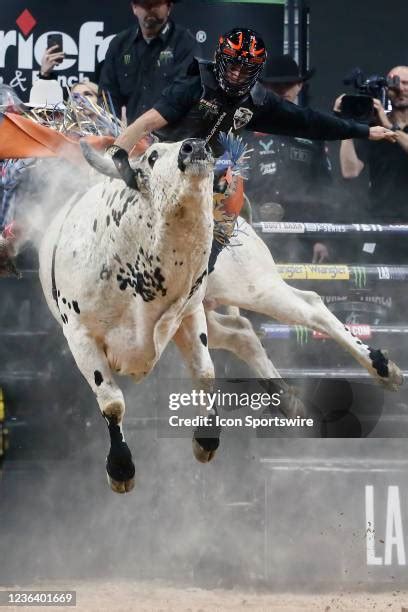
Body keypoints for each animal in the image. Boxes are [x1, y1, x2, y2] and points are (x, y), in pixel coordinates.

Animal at [39, 140, 220, 492]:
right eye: (152, 156)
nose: (194, 146)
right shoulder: (80, 335)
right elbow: (111, 403)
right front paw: (120, 467)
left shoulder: (190, 312)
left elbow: (205, 373)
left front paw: (206, 439)